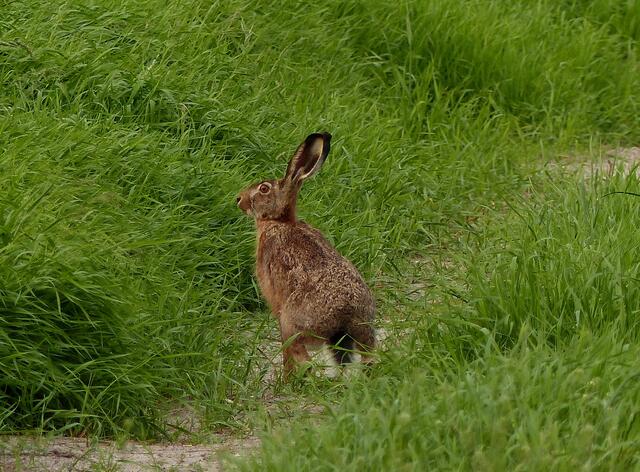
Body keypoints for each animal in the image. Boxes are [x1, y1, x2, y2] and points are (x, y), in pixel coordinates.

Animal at [237, 132, 376, 377]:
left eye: (263, 189)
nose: (239, 199)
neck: (279, 221)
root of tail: (345, 313)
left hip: (292, 324)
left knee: (300, 357)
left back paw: (290, 380)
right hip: (360, 333)